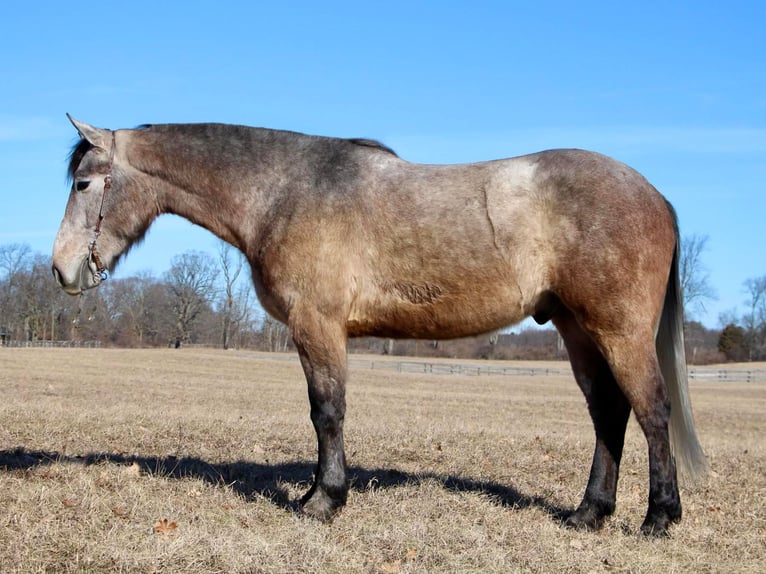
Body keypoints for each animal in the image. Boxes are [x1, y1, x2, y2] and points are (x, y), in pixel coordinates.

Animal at [51, 116, 708, 536]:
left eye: (83, 183)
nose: (62, 269)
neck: (283, 191)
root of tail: (656, 195)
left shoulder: (317, 326)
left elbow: (327, 411)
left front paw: (322, 501)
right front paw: (320, 494)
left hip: (618, 332)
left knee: (652, 412)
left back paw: (658, 518)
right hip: (576, 329)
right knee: (608, 415)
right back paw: (588, 514)